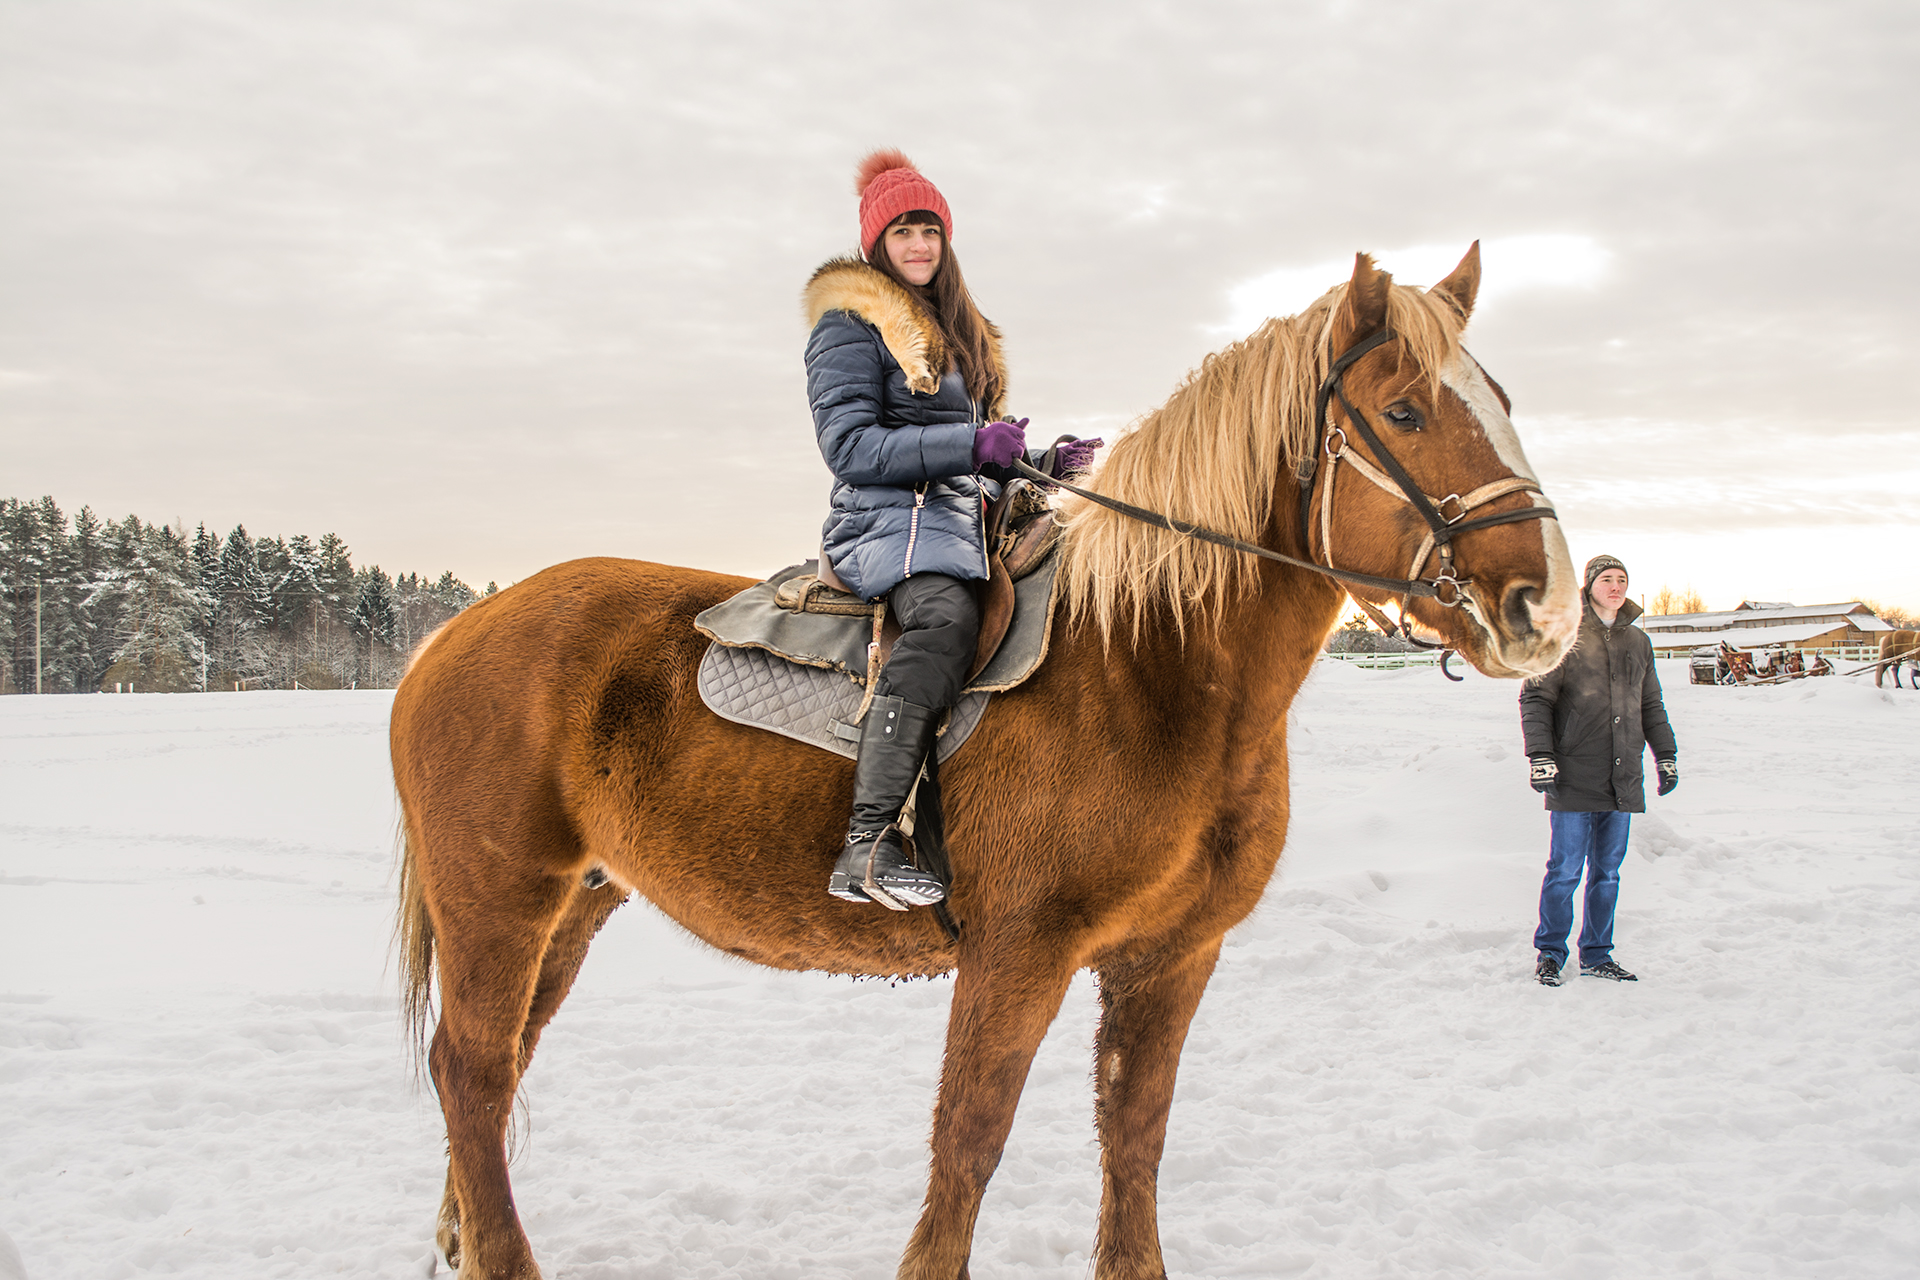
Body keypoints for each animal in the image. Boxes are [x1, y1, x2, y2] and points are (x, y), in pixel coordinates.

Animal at [385, 245, 1574, 1274]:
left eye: (1504, 403)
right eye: (1406, 410)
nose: (1546, 606)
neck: (1148, 667)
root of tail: (452, 635)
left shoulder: (1171, 957)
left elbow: (1134, 1137)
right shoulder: (1019, 952)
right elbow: (969, 1139)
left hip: (574, 900)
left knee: (494, 1065)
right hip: (500, 895)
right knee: (474, 1068)